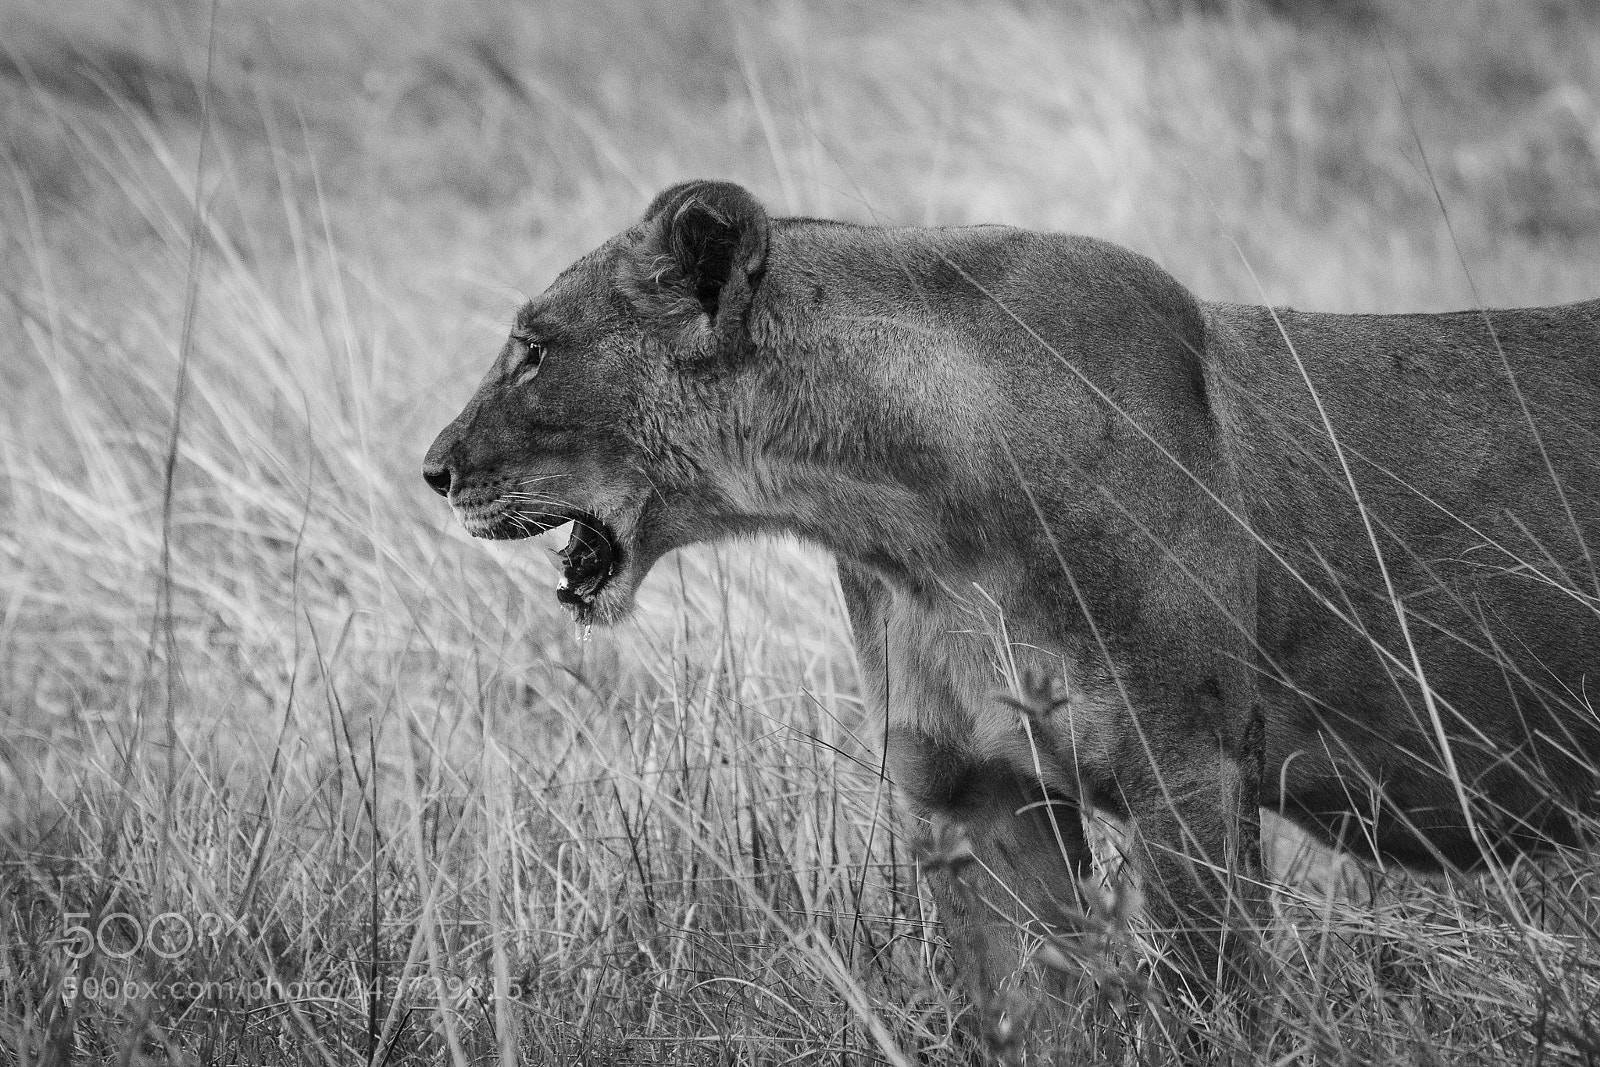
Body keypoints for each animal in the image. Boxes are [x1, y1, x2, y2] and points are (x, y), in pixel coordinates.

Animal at [424, 179, 1600, 1046]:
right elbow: (1027, 1009)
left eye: (535, 348)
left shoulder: (1189, 763)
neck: (910, 522)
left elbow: (1215, 997)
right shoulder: (973, 790)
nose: (433, 470)